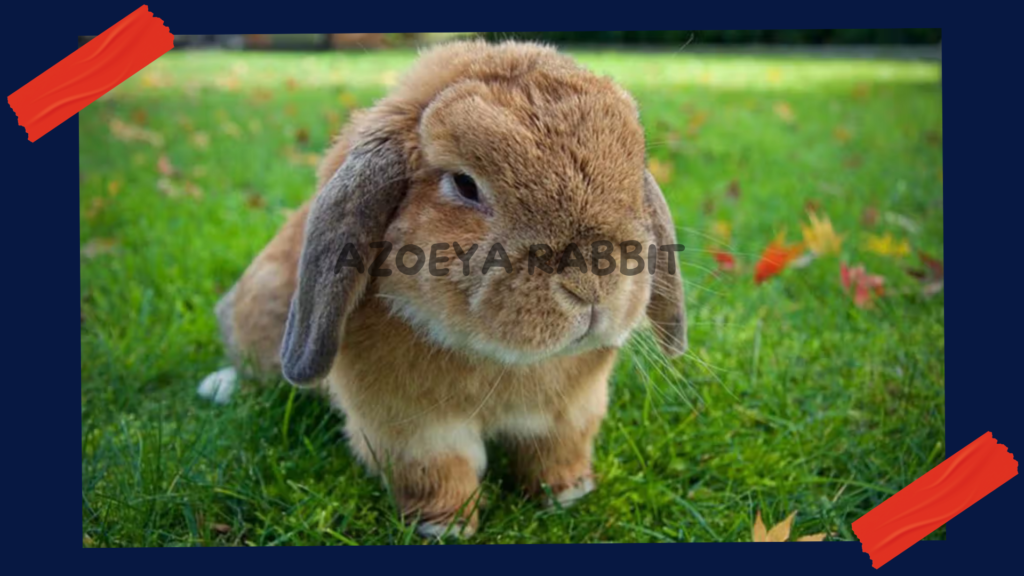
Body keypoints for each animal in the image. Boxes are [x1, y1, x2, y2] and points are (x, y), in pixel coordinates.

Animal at [195, 40, 684, 537]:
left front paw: (569, 494)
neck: (502, 361)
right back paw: (218, 386)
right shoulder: (413, 429)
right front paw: (446, 527)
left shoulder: (569, 413)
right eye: (465, 184)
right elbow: (440, 471)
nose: (591, 285)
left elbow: (556, 453)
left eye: (634, 172)